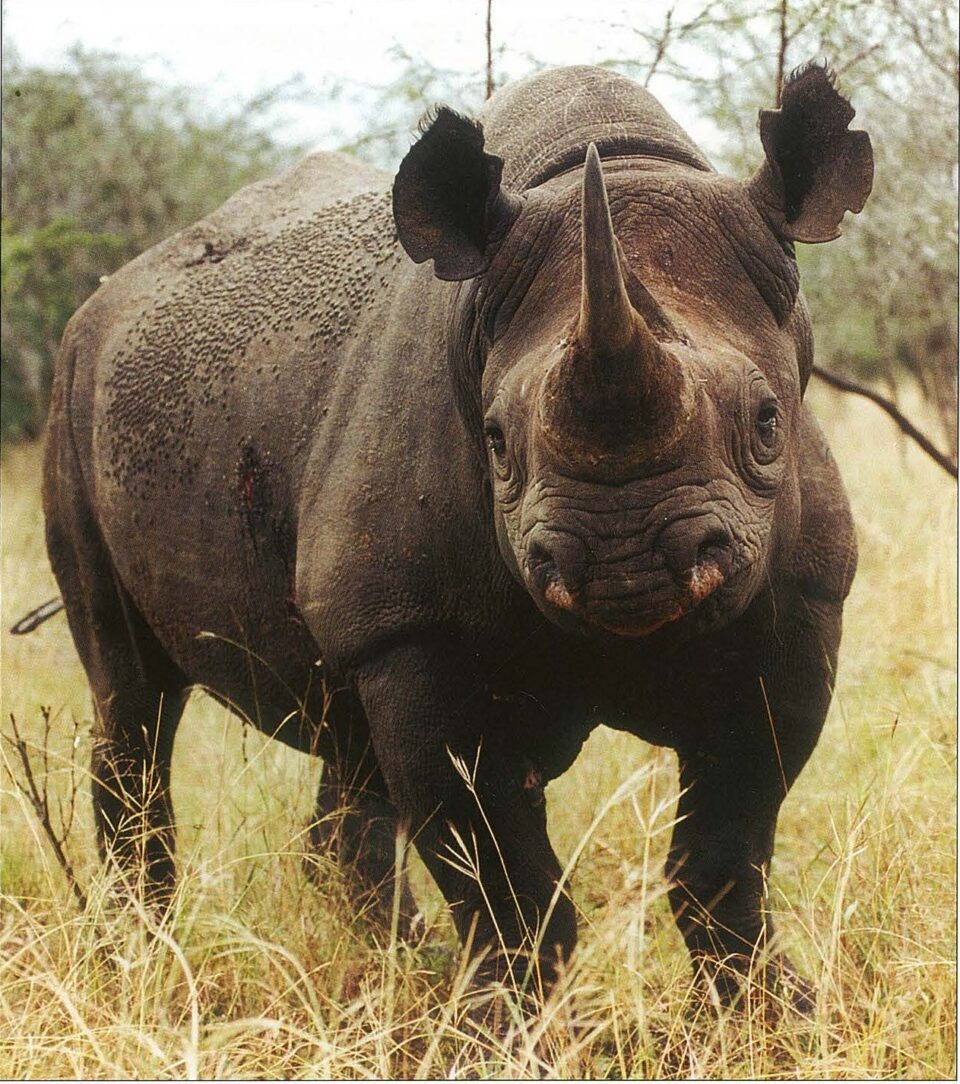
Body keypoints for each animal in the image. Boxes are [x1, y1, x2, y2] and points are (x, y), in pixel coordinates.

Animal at [43, 62, 872, 1013]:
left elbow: (726, 854)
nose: (626, 565)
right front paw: (494, 1027)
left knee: (345, 748)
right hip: (74, 391)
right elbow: (507, 890)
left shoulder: (801, 600)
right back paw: (141, 960)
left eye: (769, 423)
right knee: (129, 695)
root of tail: (102, 300)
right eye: (497, 442)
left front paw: (778, 1017)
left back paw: (397, 969)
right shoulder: (415, 632)